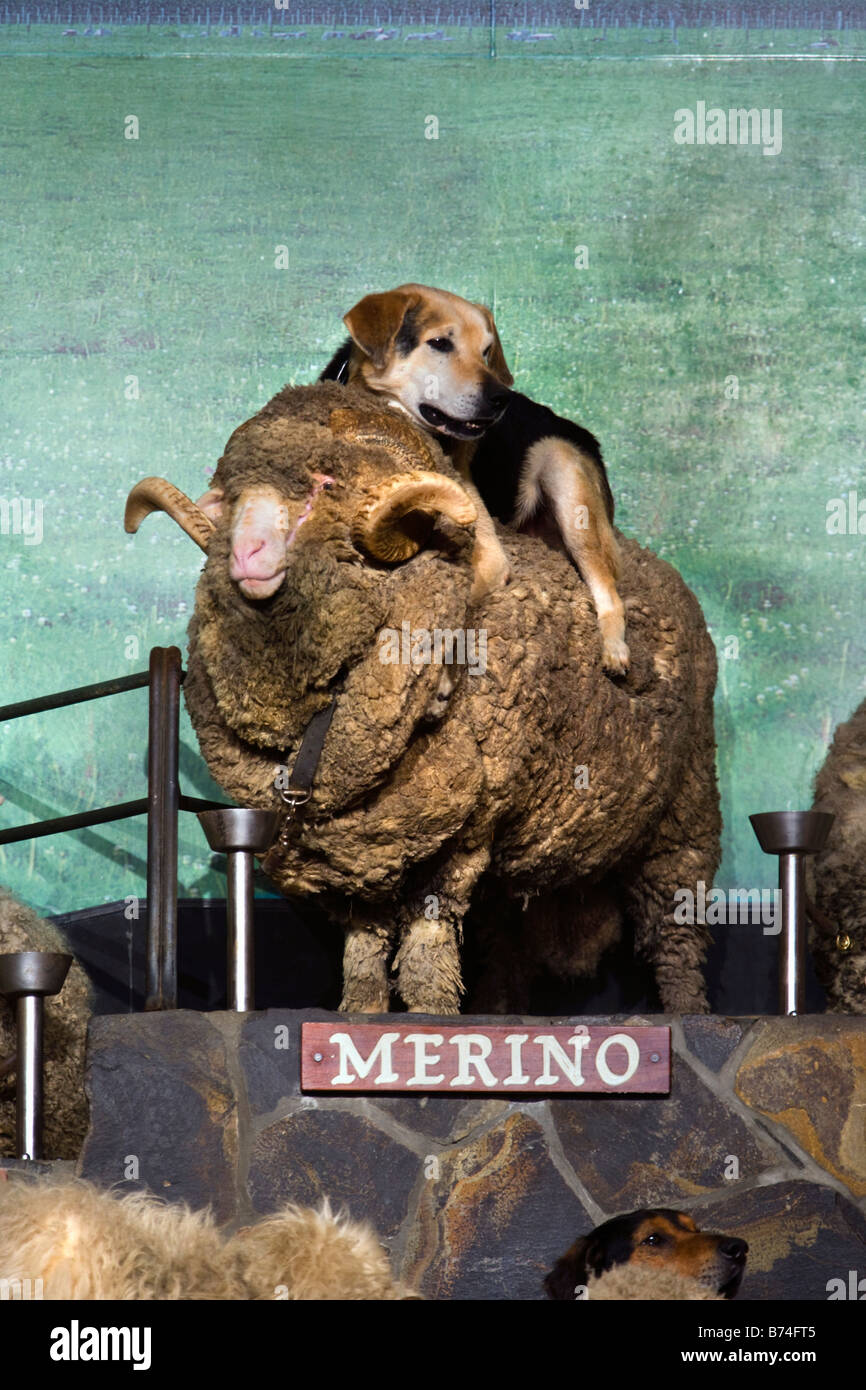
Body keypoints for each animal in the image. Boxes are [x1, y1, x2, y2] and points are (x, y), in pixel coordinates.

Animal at [124, 380, 721, 1015]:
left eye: (326, 485)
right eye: (232, 497)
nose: (246, 557)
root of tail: (649, 560)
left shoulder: (462, 838)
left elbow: (426, 955)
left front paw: (432, 1017)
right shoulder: (359, 848)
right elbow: (363, 952)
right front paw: (361, 1013)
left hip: (686, 811)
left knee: (675, 932)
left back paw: (688, 1011)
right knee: (507, 946)